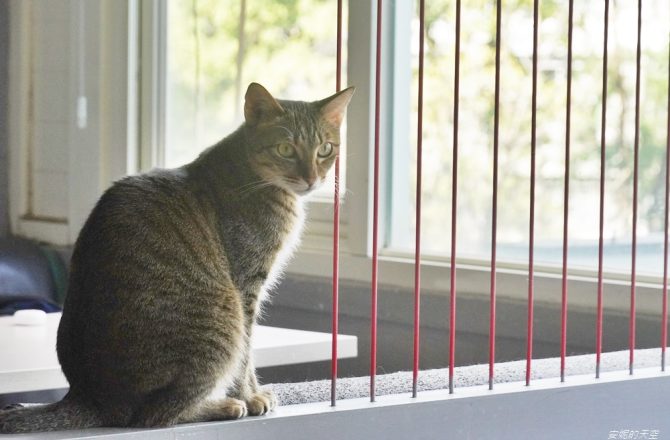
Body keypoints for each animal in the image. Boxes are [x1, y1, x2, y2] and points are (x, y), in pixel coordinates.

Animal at [0, 82, 356, 434]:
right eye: (285, 149)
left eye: (325, 149)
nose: (312, 179)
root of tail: (90, 398)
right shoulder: (246, 288)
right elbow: (246, 357)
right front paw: (251, 396)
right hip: (224, 317)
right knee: (158, 415)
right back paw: (223, 405)